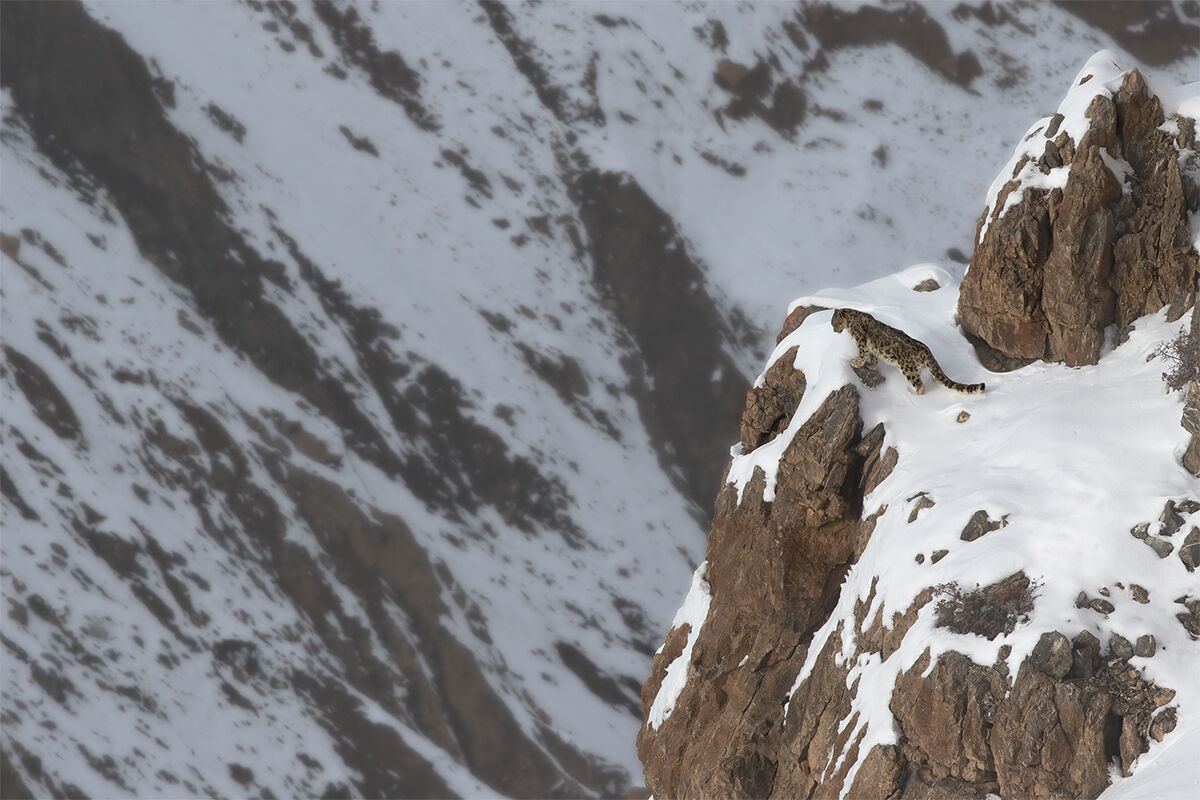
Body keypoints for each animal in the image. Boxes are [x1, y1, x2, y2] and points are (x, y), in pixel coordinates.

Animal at [831, 308, 985, 395]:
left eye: (834, 323)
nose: (833, 330)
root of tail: (925, 349)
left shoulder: (861, 343)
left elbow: (862, 355)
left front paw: (856, 363)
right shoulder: (872, 348)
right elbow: (873, 358)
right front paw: (871, 365)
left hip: (907, 369)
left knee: (919, 383)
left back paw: (916, 395)